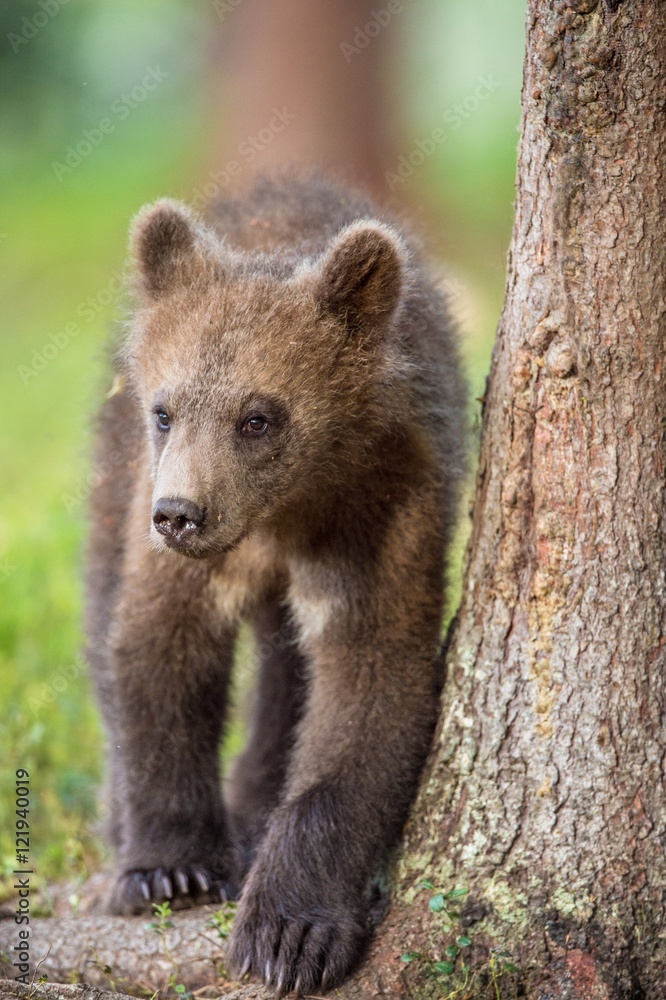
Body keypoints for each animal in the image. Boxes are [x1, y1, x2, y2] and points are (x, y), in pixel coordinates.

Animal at [85, 174, 466, 995]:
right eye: (166, 411)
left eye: (257, 417)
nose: (180, 514)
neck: (281, 515)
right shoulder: (171, 539)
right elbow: (157, 650)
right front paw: (169, 867)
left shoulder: (382, 515)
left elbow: (368, 686)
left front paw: (290, 932)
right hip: (113, 470)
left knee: (290, 670)